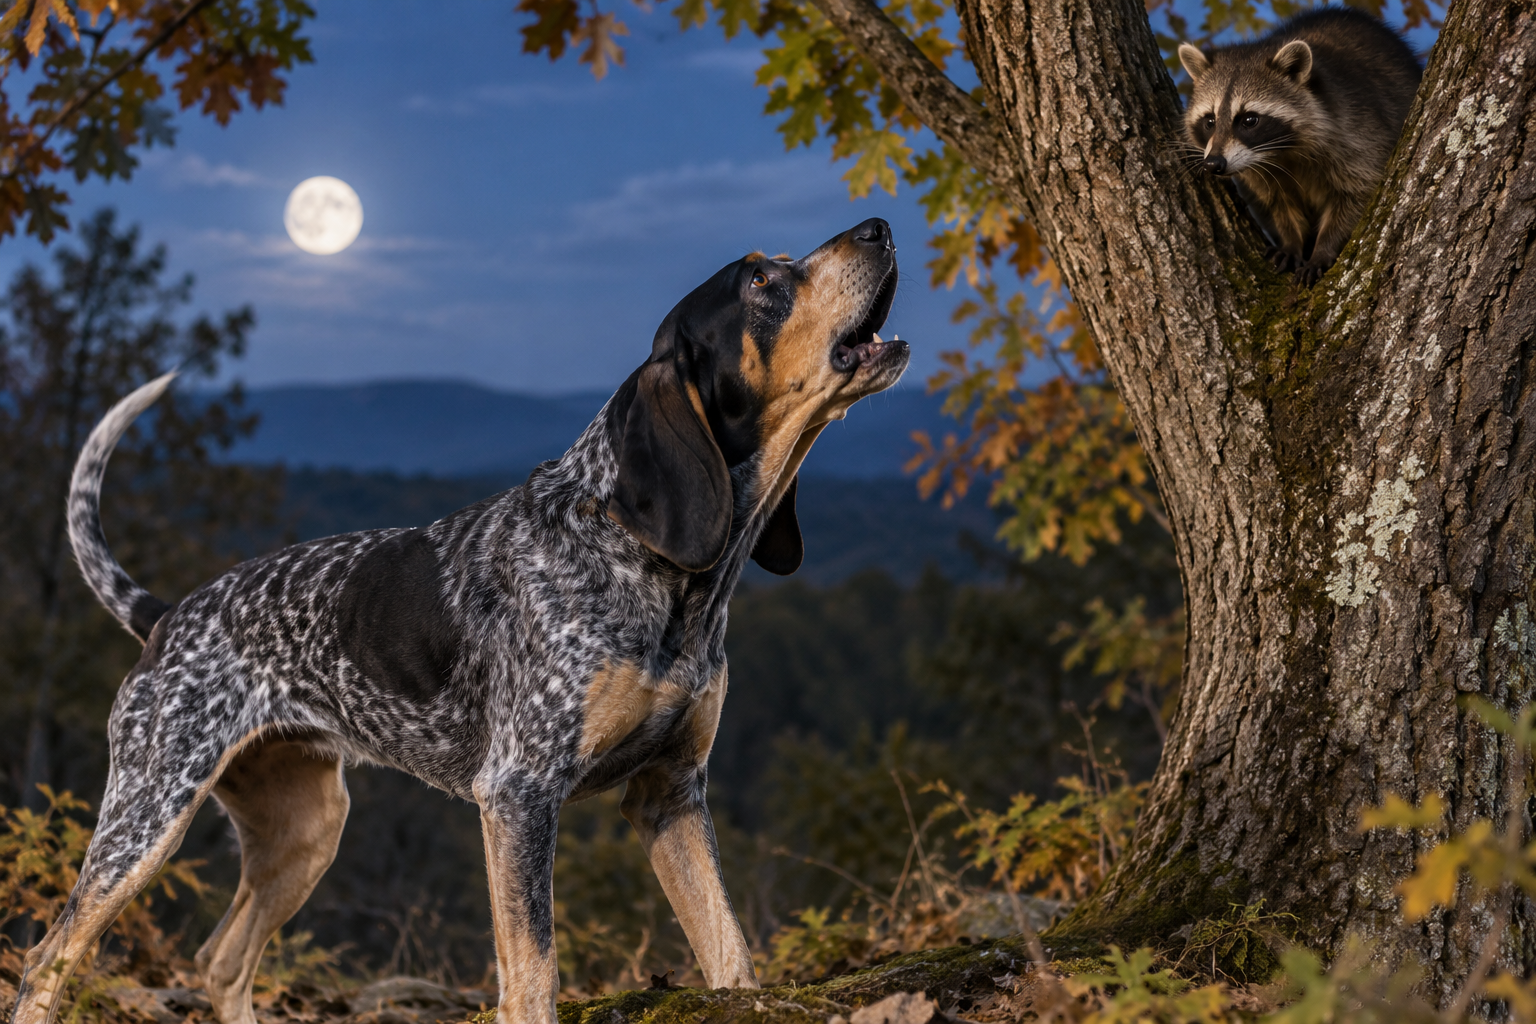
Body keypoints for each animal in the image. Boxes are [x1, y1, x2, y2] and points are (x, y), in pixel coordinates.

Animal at [1179, 8, 1421, 284]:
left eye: (1249, 120)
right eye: (1210, 121)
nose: (1213, 164)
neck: (1279, 153)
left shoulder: (1359, 134)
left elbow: (1358, 193)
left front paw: (1324, 248)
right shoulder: (1256, 172)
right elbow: (1278, 205)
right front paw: (1291, 242)